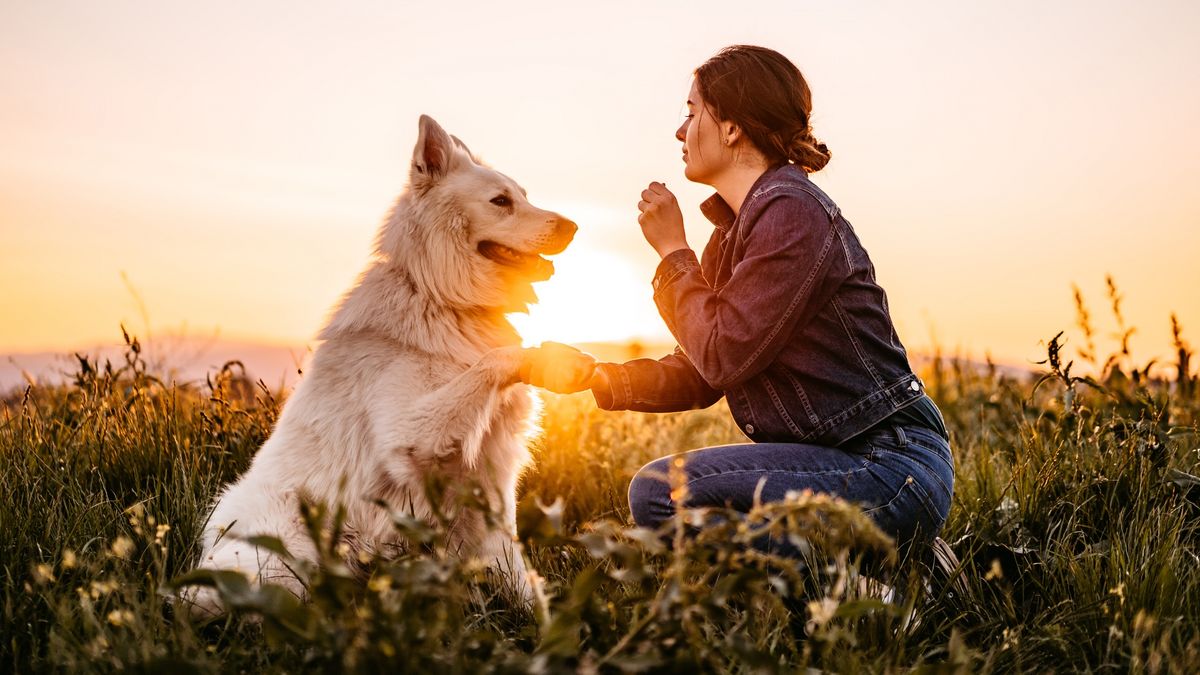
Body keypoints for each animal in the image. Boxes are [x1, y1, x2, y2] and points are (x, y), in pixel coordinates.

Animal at [186, 115, 576, 614]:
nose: (574, 226)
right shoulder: (411, 436)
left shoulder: (494, 476)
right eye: (501, 201)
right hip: (285, 556)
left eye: (524, 195)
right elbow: (495, 360)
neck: (440, 299)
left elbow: (514, 567)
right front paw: (548, 356)